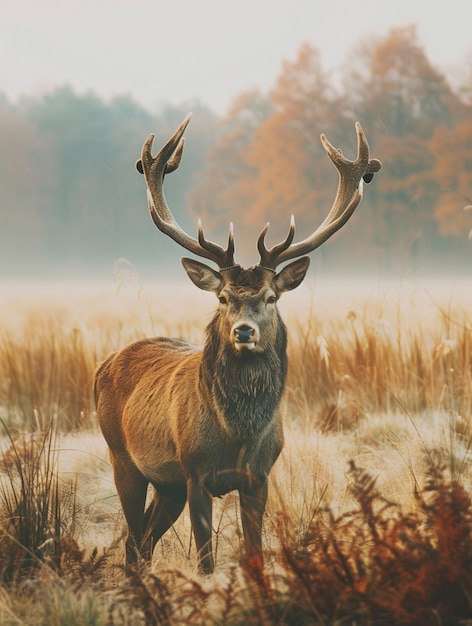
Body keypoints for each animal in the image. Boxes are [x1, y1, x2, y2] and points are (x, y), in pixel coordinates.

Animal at [94, 113, 382, 576]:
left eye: (270, 297)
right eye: (223, 298)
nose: (243, 331)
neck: (238, 434)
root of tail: (103, 366)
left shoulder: (259, 476)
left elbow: (255, 553)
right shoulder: (194, 473)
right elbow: (206, 560)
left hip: (168, 486)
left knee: (143, 541)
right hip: (123, 458)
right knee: (134, 540)